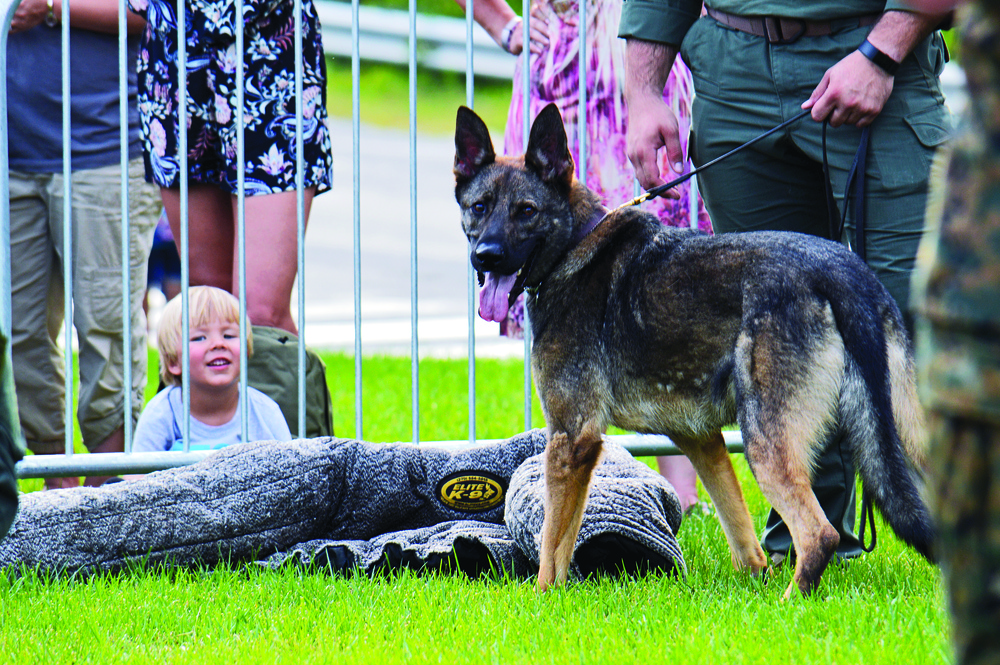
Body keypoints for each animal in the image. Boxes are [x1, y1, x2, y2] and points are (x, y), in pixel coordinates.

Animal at [456, 102, 936, 596]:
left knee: (819, 533)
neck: (575, 243)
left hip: (763, 440)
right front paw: (754, 582)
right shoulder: (701, 440)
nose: (486, 255)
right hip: (907, 436)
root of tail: (842, 269)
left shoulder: (571, 439)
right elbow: (741, 535)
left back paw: (791, 602)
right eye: (479, 208)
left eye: (526, 211)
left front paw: (544, 599)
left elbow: (553, 545)